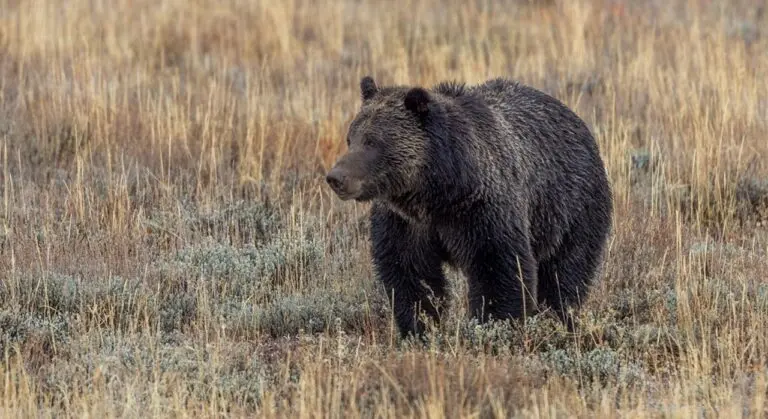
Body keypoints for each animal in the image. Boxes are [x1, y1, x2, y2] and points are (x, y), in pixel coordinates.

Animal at [325, 75, 613, 338]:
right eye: (351, 138)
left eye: (372, 142)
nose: (336, 177)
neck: (435, 191)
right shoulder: (406, 222)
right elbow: (409, 272)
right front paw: (420, 326)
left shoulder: (481, 209)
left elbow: (499, 266)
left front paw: (493, 325)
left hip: (572, 207)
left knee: (564, 272)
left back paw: (558, 319)